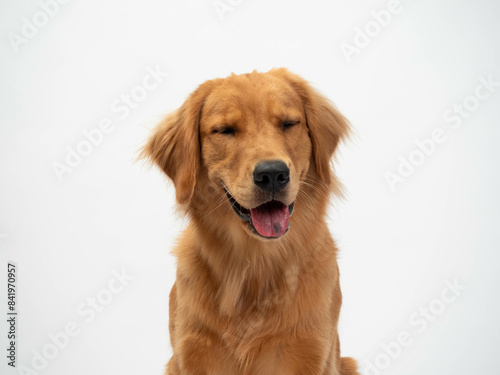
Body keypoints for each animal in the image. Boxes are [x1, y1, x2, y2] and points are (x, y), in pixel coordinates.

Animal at [143, 68, 358, 375]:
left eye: (288, 123)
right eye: (225, 130)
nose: (272, 174)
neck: (256, 265)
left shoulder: (311, 350)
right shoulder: (190, 353)